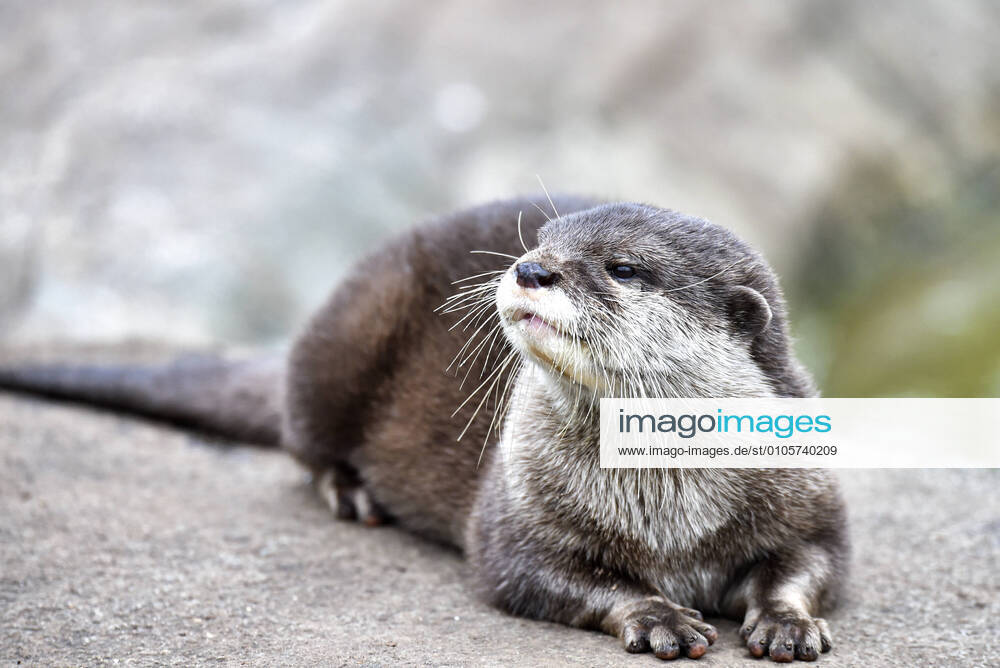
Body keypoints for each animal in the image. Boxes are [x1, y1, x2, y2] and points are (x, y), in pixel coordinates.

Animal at [0, 196, 847, 662]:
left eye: (625, 268)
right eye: (541, 241)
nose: (532, 269)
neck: (669, 510)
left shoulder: (811, 498)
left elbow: (812, 565)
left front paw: (785, 623)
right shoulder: (516, 510)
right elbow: (546, 575)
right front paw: (658, 614)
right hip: (343, 337)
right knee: (305, 442)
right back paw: (352, 492)